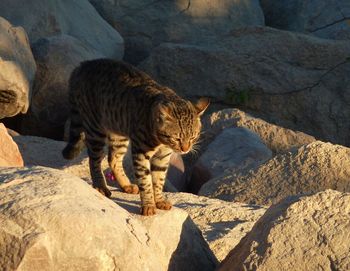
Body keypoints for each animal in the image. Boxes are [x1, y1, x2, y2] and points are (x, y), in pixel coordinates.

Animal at [61, 59, 209, 217]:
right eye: (177, 138)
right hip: (95, 128)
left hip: (118, 132)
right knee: (94, 160)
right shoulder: (140, 152)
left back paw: (126, 184)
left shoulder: (163, 157)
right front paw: (149, 205)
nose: (185, 149)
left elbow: (159, 180)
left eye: (193, 137)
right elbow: (145, 181)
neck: (161, 142)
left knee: (113, 158)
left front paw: (159, 200)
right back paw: (100, 186)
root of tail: (82, 66)